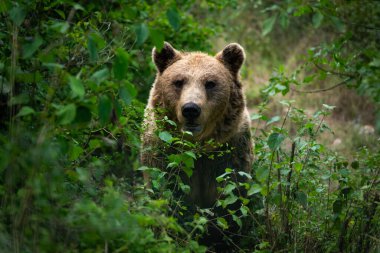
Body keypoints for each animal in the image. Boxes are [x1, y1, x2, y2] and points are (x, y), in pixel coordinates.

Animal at [140, 42, 252, 208]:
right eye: (178, 82)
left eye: (210, 83)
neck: (198, 146)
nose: (191, 109)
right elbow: (163, 185)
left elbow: (232, 193)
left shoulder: (231, 151)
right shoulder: (163, 149)